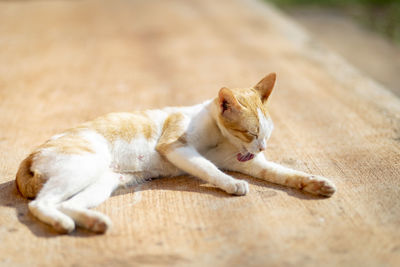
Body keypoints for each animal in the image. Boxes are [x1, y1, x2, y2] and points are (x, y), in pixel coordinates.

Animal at [14, 73, 334, 234]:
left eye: (267, 134)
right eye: (251, 133)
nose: (263, 147)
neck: (221, 137)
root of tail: (30, 155)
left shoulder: (250, 163)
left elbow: (284, 173)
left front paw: (316, 183)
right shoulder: (176, 146)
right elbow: (209, 168)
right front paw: (231, 184)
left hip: (103, 182)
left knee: (67, 204)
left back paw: (94, 222)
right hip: (84, 167)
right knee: (41, 204)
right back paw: (62, 224)